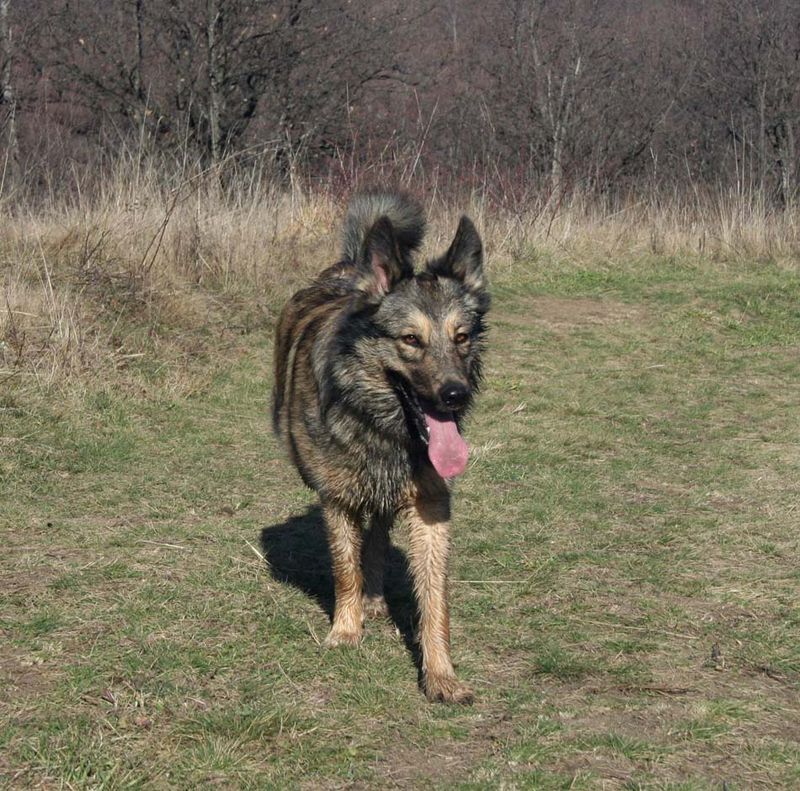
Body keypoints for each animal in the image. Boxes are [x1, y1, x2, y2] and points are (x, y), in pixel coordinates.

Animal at [272, 190, 489, 703]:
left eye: (461, 337)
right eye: (411, 339)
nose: (455, 395)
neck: (381, 427)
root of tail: (353, 263)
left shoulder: (431, 505)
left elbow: (435, 600)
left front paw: (441, 674)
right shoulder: (336, 499)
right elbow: (344, 568)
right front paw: (345, 631)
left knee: (377, 535)